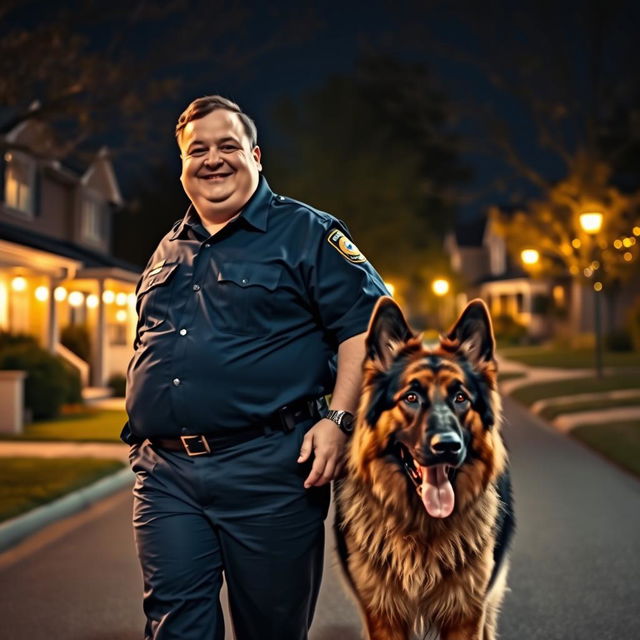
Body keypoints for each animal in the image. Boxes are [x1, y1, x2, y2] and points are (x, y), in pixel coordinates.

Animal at [336, 298, 516, 636]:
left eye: (460, 397)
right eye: (411, 397)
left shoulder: (467, 614)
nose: (447, 446)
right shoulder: (383, 615)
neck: (421, 529)